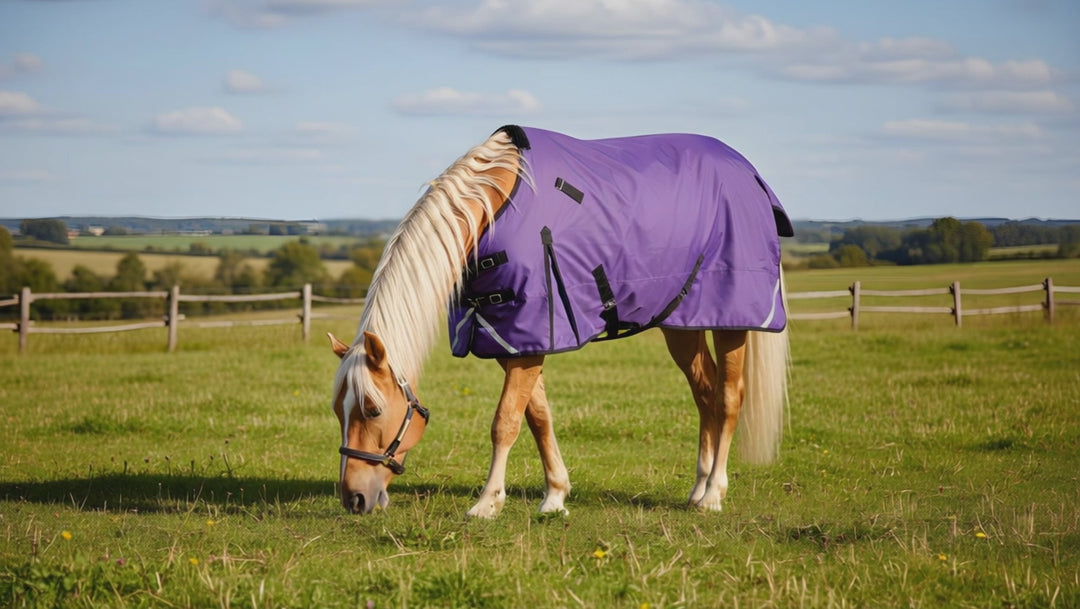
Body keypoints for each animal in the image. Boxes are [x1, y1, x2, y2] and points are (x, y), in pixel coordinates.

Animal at [328, 125, 792, 517]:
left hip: (731, 319)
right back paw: (697, 488)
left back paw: (713, 494)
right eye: (337, 410)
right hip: (682, 323)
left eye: (372, 410)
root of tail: (747, 172)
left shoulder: (528, 335)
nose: (353, 498)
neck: (493, 211)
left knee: (728, 397)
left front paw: (488, 503)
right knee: (705, 392)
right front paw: (554, 495)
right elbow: (538, 417)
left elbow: (505, 422)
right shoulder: (515, 338)